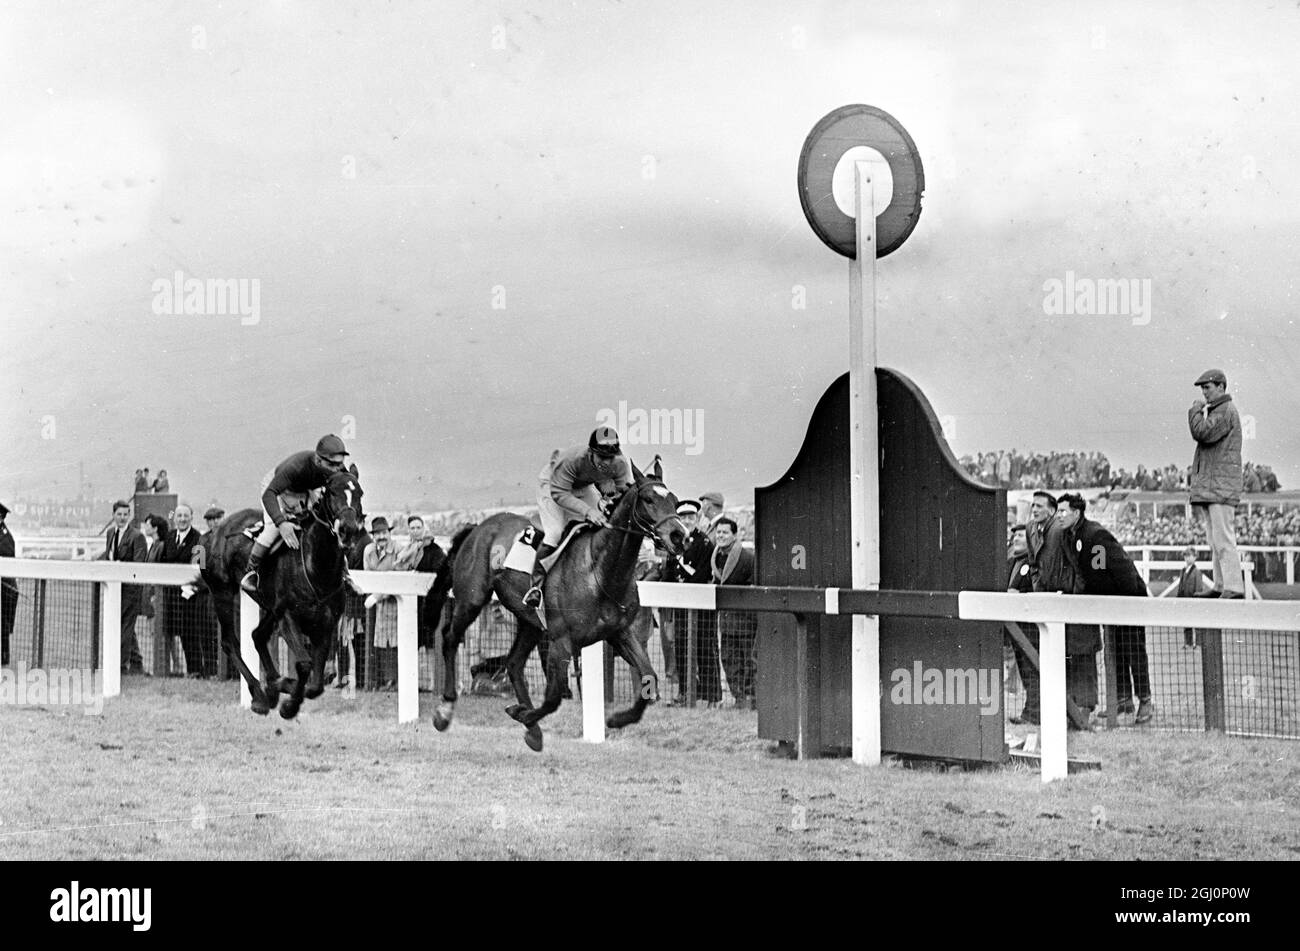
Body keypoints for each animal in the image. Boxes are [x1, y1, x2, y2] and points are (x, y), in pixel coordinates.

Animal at [202, 467, 366, 722]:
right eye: (332, 492)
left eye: (359, 493)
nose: (348, 529)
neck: (317, 567)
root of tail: (216, 530)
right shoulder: (289, 618)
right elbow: (305, 665)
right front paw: (288, 705)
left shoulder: (326, 624)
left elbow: (316, 685)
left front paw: (283, 687)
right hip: (223, 592)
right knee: (230, 642)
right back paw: (259, 696)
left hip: (269, 606)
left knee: (258, 635)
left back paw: (271, 687)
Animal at [428, 459, 691, 748]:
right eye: (648, 499)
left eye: (674, 500)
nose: (679, 536)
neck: (600, 572)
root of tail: (478, 527)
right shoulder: (561, 640)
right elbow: (554, 697)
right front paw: (522, 713)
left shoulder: (619, 632)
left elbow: (649, 678)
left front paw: (617, 720)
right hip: (472, 599)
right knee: (450, 638)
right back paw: (445, 710)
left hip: (529, 620)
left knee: (513, 663)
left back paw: (533, 730)